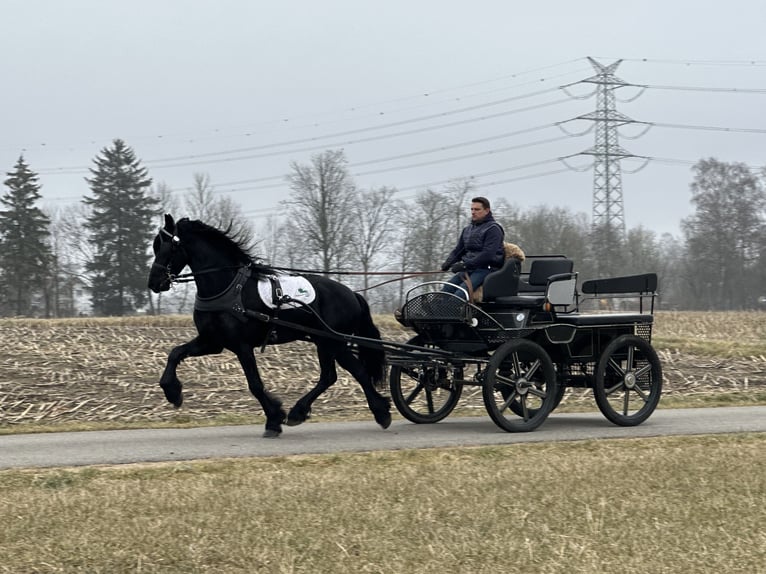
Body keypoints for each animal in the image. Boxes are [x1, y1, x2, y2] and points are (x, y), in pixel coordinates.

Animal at [148, 214, 392, 438]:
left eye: (169, 247)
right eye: (156, 246)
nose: (154, 283)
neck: (229, 288)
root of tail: (352, 294)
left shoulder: (242, 346)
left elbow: (255, 384)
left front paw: (274, 420)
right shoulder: (212, 341)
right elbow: (175, 353)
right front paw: (172, 391)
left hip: (334, 342)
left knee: (355, 371)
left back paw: (380, 413)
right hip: (325, 342)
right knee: (331, 376)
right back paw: (301, 412)